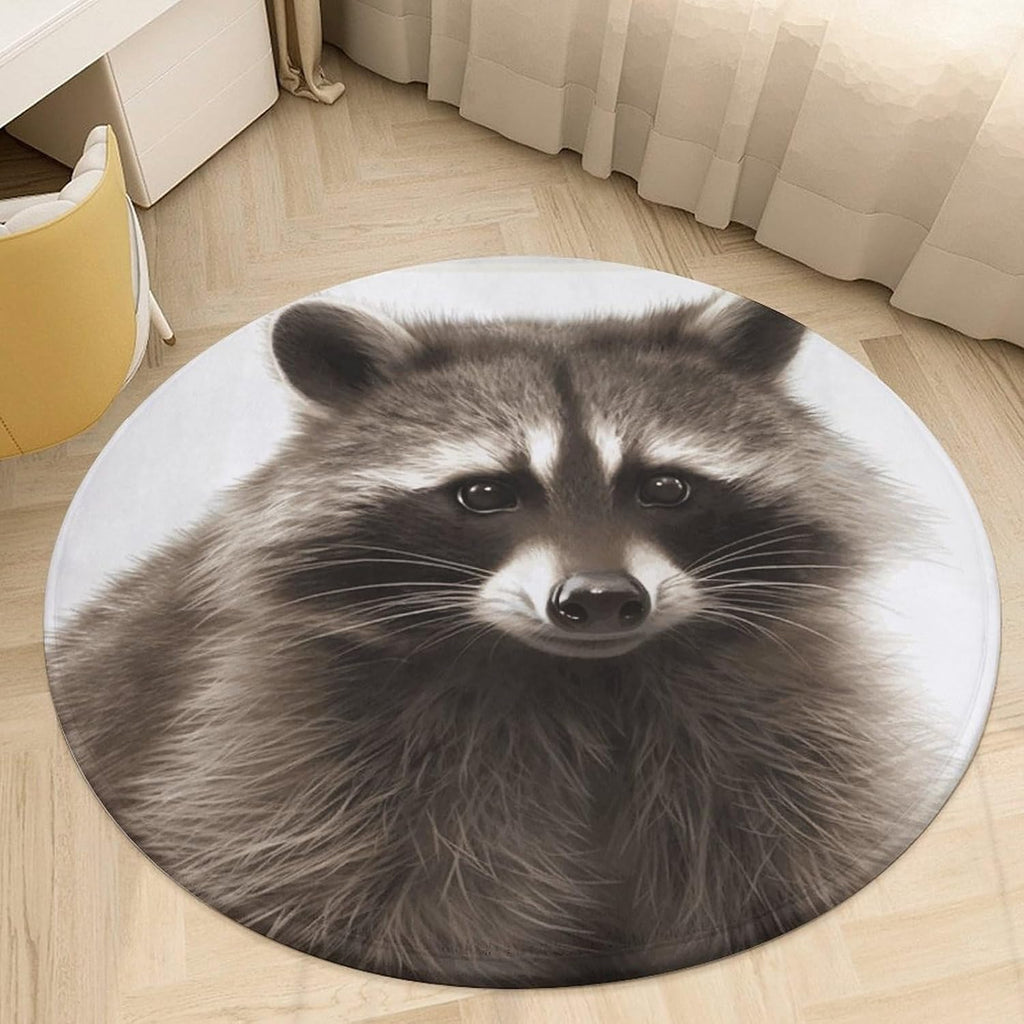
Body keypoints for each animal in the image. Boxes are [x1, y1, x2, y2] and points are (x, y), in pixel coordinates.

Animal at [49, 295, 933, 986]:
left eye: (665, 485)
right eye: (484, 493)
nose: (601, 600)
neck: (580, 680)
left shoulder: (778, 716)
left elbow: (800, 840)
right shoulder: (288, 742)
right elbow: (353, 890)